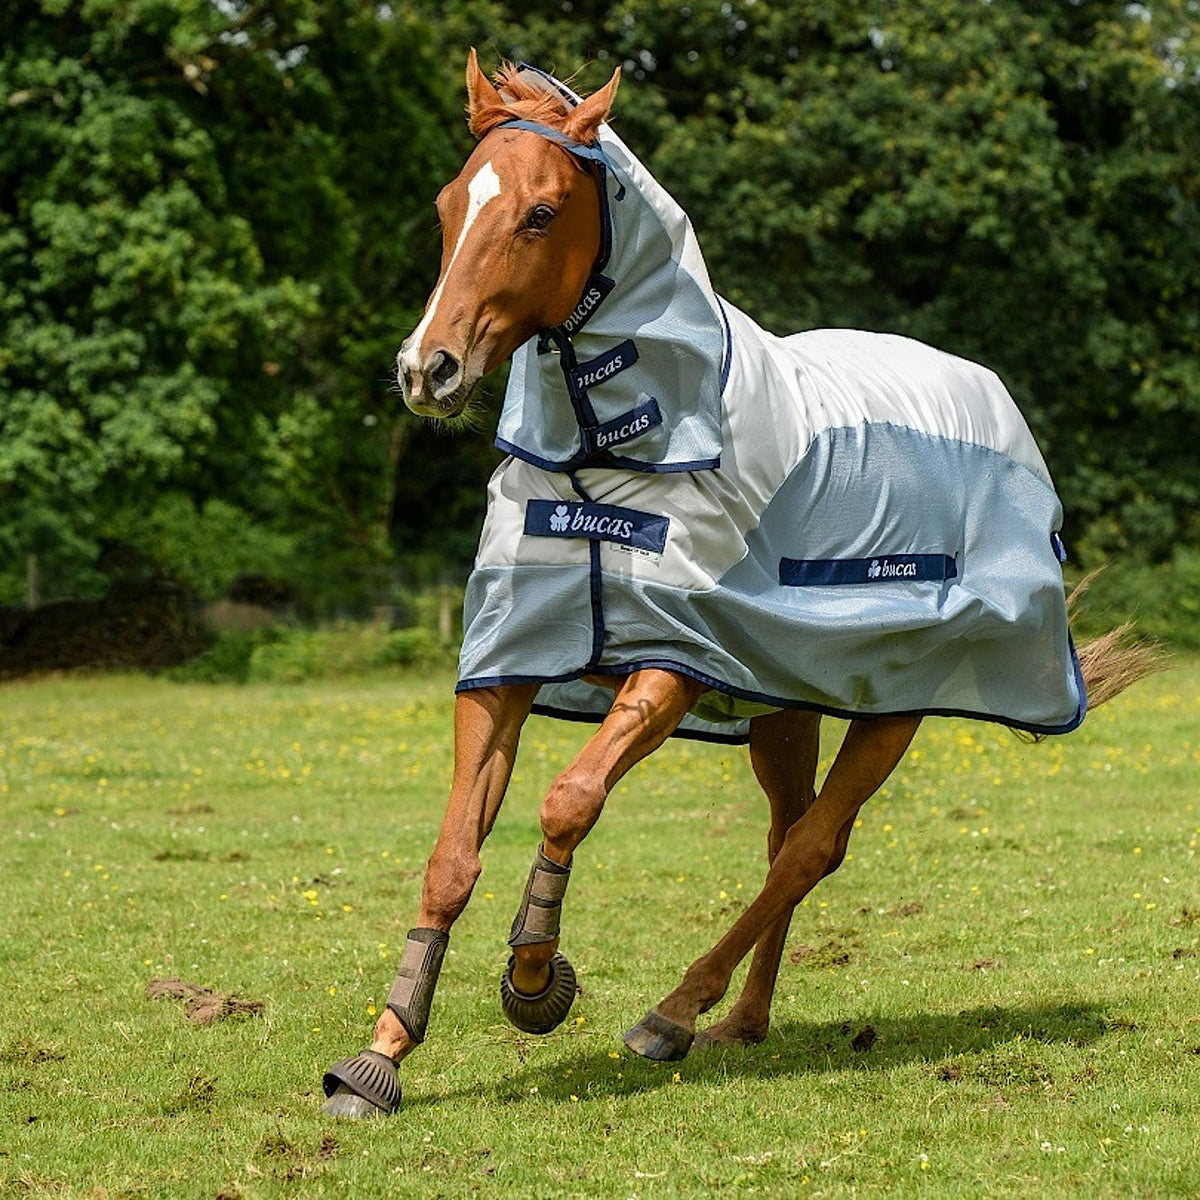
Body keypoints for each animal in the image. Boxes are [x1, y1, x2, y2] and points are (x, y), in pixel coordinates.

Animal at [320, 51, 1156, 1118]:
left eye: (541, 213)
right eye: (446, 207)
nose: (428, 368)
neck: (608, 450)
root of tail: (994, 404)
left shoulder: (674, 662)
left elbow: (568, 801)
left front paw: (536, 979)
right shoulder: (509, 660)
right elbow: (451, 858)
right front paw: (381, 1054)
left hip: (894, 706)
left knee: (811, 848)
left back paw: (674, 1012)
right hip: (781, 701)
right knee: (786, 838)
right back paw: (740, 1022)